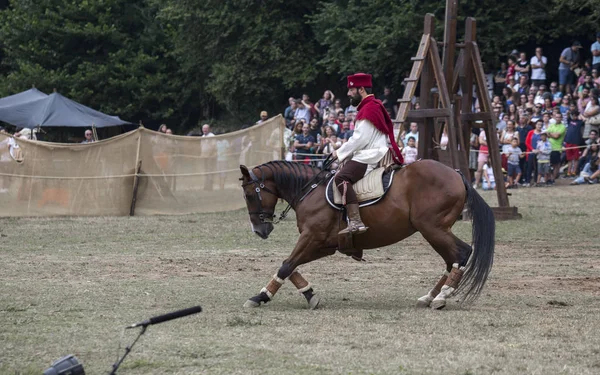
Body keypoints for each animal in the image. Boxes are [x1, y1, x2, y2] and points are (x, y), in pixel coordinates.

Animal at [239, 160, 496, 310]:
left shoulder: (311, 238)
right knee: (451, 260)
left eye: (249, 195)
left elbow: (286, 265)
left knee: (462, 253)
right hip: (435, 231)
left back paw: (442, 296)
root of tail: (456, 173)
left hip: (433, 229)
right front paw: (309, 294)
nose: (259, 230)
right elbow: (291, 266)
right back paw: (430, 296)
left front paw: (261, 297)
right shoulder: (325, 245)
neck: (310, 190)